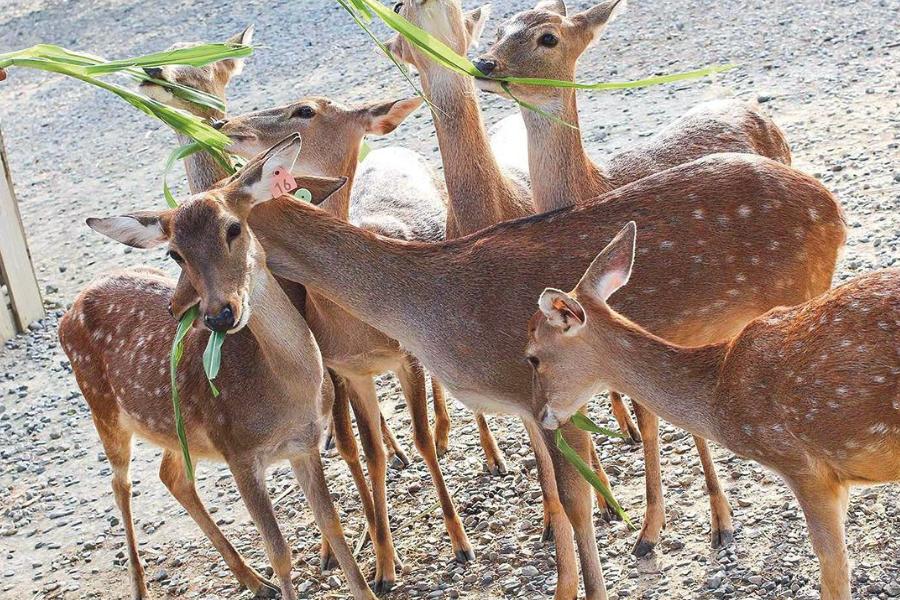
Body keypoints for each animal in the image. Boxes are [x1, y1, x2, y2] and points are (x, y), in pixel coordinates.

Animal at [58, 137, 376, 600]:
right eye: (175, 254)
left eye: (234, 228)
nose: (219, 315)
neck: (285, 392)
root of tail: (69, 311)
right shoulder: (237, 450)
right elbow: (280, 551)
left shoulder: (305, 444)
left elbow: (332, 526)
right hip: (102, 407)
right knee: (121, 485)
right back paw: (141, 586)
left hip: (175, 428)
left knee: (171, 475)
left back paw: (252, 580)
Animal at [216, 95, 478, 584]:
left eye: (305, 110)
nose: (224, 122)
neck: (353, 324)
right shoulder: (346, 369)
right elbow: (366, 452)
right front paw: (384, 563)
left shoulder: (406, 356)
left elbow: (419, 438)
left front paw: (460, 543)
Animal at [237, 130, 844, 596]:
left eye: (229, 226)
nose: (222, 316)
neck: (432, 310)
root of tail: (833, 207)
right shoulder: (533, 403)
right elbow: (554, 488)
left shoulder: (548, 395)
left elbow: (574, 498)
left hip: (804, 297)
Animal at [472, 0, 796, 556]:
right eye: (498, 27)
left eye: (548, 37)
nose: (484, 64)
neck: (594, 184)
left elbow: (660, 415)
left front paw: (693, 524)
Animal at [532, 221, 896, 600]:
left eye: (533, 357)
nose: (541, 415)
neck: (720, 396)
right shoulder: (838, 479)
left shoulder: (803, 466)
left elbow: (834, 568)